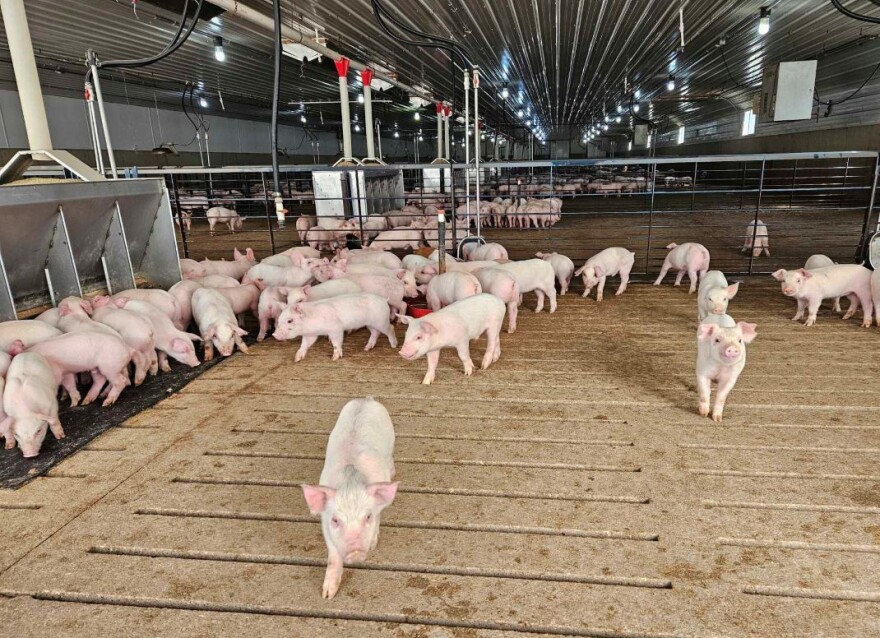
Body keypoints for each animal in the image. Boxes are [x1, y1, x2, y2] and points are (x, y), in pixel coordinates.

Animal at [302, 398, 398, 604]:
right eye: (336, 520)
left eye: (368, 517)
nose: (355, 550)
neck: (350, 484)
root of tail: (366, 399)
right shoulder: (325, 524)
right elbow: (333, 556)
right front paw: (327, 595)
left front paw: (373, 545)